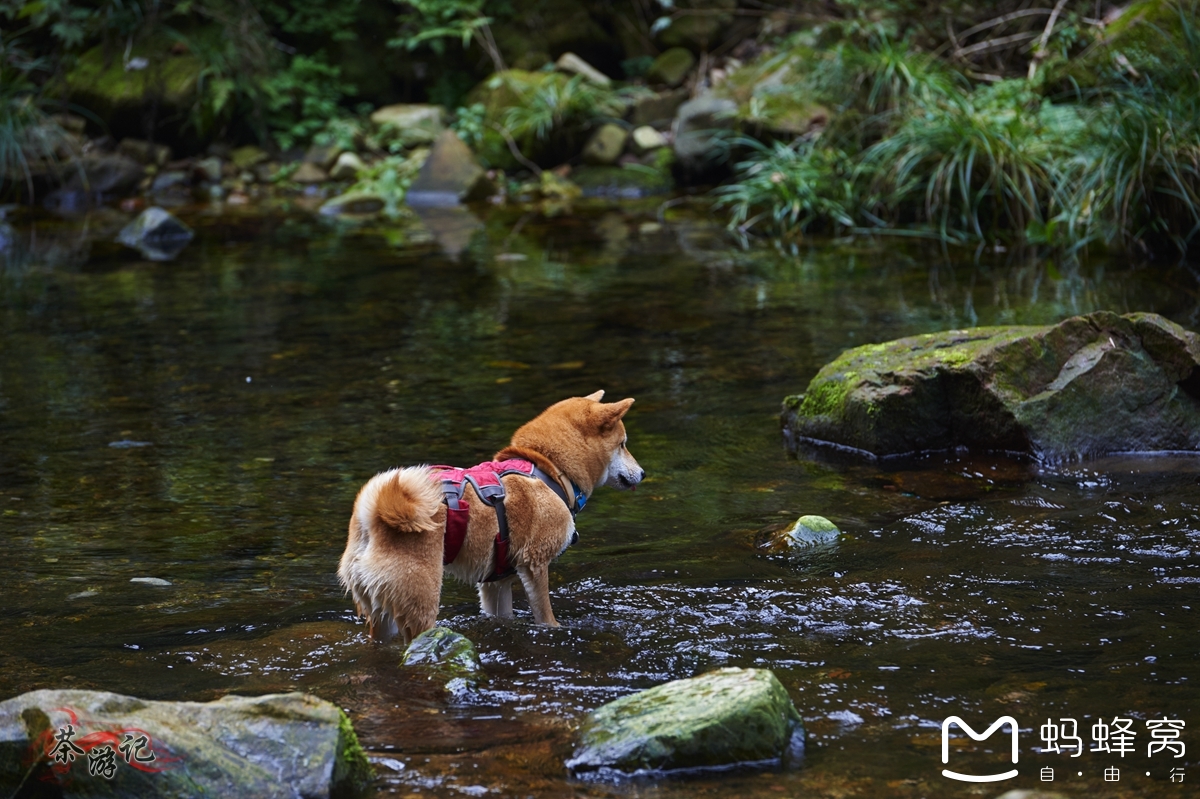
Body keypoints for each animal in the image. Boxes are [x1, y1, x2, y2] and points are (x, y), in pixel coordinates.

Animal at [338, 388, 643, 643]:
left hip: (380, 612)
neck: (549, 469)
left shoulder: (496, 583)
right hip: (421, 601)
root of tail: (372, 516)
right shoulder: (535, 565)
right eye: (623, 444)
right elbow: (546, 616)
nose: (642, 473)